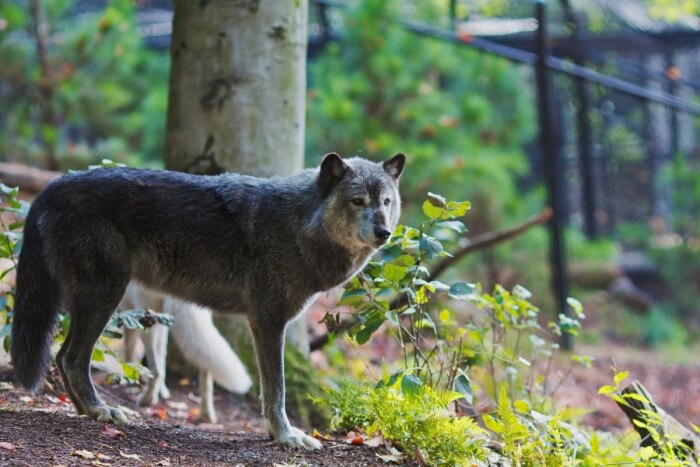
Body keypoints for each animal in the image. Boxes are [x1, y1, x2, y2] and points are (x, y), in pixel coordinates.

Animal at [119, 282, 252, 424]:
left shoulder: (129, 316)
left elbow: (130, 350)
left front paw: (128, 376)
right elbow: (161, 357)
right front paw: (163, 391)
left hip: (147, 323)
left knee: (156, 370)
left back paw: (147, 399)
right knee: (206, 370)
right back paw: (206, 416)